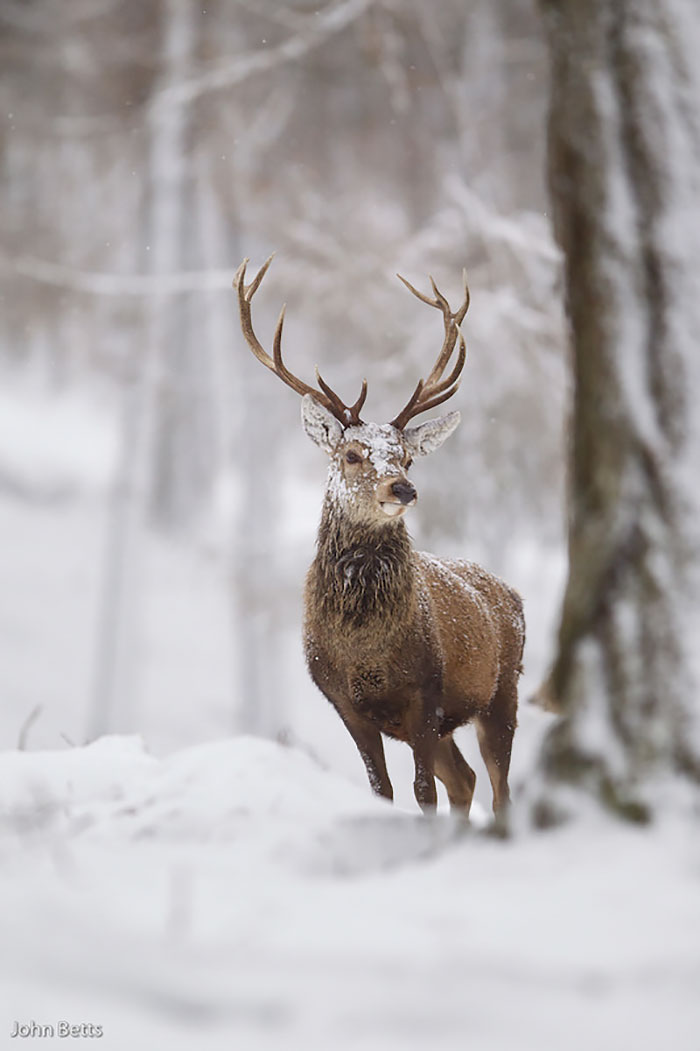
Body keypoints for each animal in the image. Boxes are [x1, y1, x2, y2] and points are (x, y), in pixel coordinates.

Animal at [233, 256, 525, 817]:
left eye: (407, 457)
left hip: (502, 692)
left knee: (498, 791)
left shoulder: (425, 695)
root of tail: (511, 592)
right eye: (352, 454)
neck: (366, 649)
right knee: (466, 780)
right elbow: (381, 790)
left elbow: (422, 793)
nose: (403, 488)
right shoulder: (346, 704)